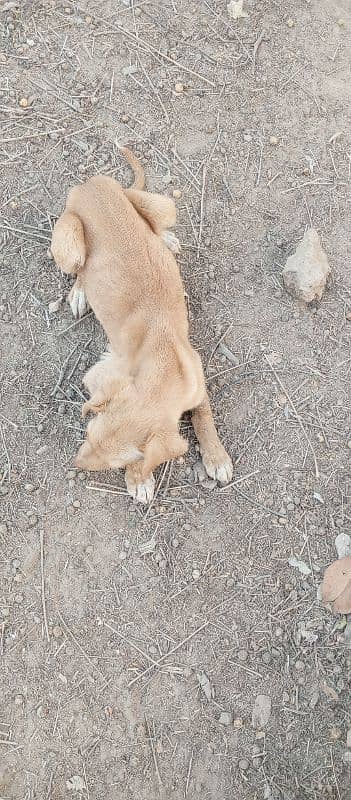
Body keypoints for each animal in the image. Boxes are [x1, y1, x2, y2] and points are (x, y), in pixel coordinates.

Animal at [51, 147, 234, 504]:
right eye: (88, 434)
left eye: (116, 463)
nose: (75, 464)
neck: (163, 366)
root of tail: (92, 184)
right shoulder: (104, 368)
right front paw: (140, 479)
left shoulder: (197, 380)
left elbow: (204, 417)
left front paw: (216, 456)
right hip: (71, 246)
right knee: (79, 269)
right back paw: (79, 292)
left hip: (164, 206)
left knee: (154, 222)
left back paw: (166, 239)